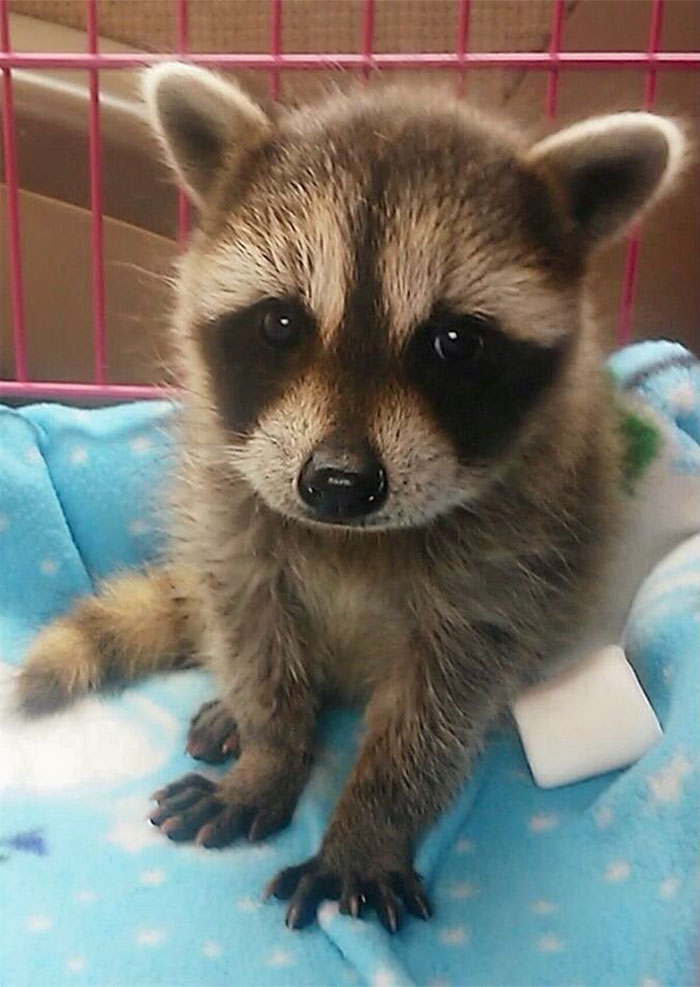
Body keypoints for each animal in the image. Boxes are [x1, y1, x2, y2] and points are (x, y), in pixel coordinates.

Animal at [17, 64, 686, 932]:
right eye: (280, 323)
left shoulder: (516, 546)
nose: (338, 483)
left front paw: (374, 818)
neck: (351, 536)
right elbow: (252, 624)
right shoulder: (231, 502)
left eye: (454, 342)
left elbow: (444, 700)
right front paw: (271, 751)